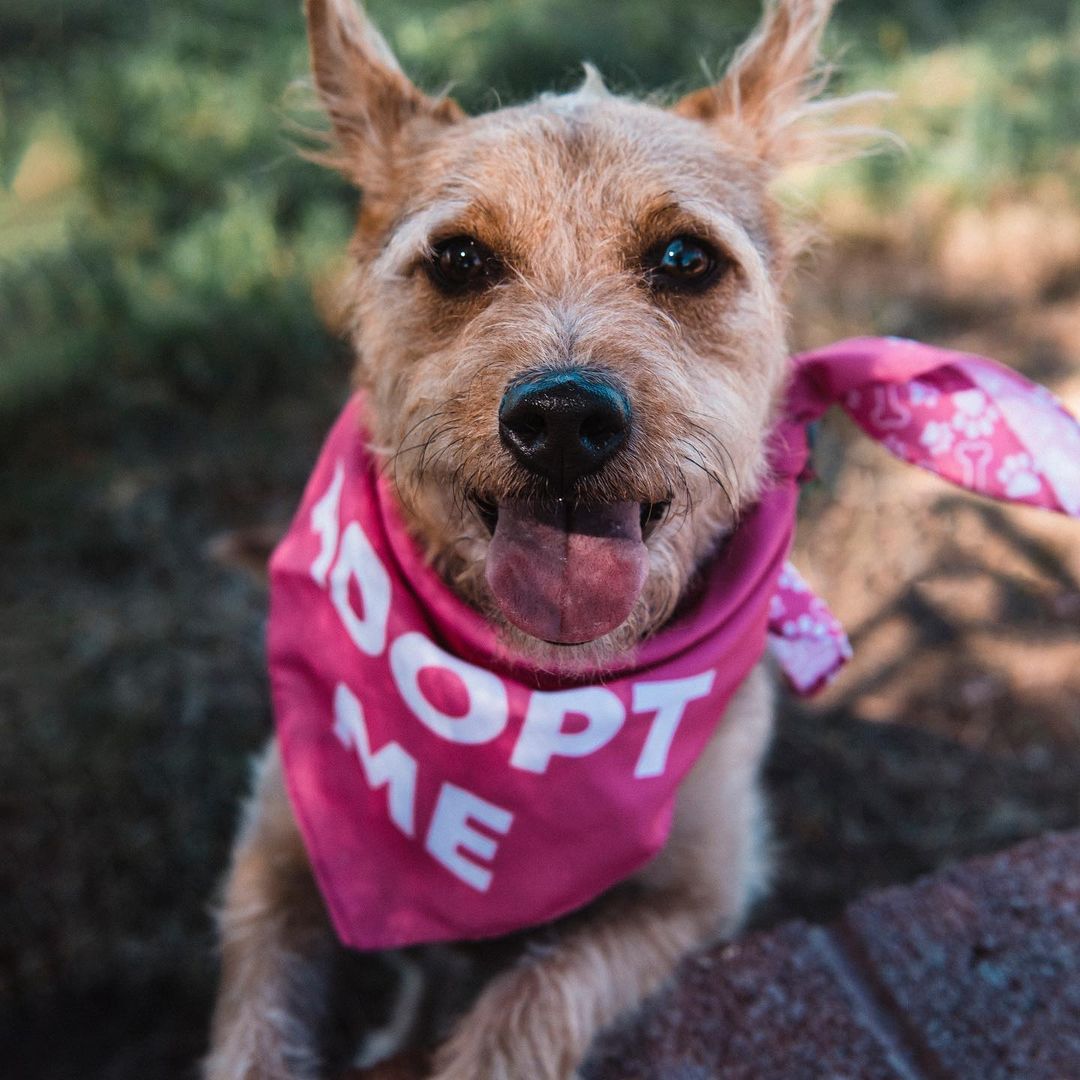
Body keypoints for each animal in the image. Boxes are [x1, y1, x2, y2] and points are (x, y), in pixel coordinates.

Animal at [206, 2, 872, 1080]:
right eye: (460, 259)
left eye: (684, 258)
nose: (564, 418)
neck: (537, 690)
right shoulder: (274, 850)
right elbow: (255, 1031)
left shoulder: (699, 887)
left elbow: (532, 998)